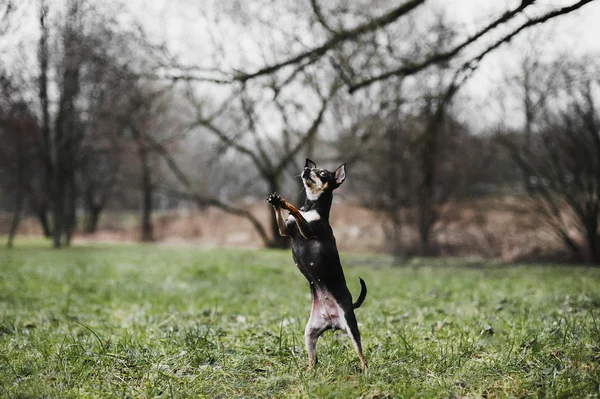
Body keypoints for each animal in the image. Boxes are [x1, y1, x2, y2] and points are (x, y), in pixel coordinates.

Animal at [268, 158, 370, 370]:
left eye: (323, 174)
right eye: (311, 168)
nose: (306, 169)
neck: (311, 207)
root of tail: (332, 322)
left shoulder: (308, 229)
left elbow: (296, 210)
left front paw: (285, 202)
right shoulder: (285, 230)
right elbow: (288, 218)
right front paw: (276, 201)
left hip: (351, 326)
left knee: (361, 354)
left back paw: (366, 371)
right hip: (310, 332)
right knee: (313, 359)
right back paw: (309, 372)